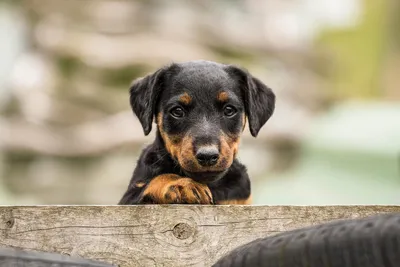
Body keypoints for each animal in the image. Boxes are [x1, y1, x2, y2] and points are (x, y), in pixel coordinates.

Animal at [118, 60, 276, 206]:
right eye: (177, 111)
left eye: (229, 110)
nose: (207, 156)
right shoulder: (129, 198)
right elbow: (157, 179)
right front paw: (183, 185)